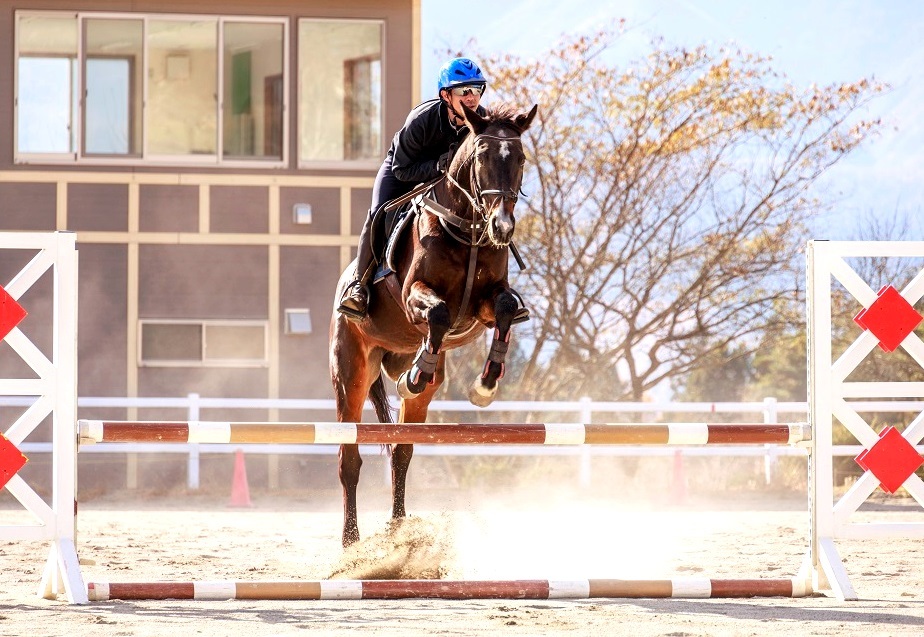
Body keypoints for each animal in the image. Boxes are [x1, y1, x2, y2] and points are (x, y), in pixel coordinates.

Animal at [328, 102, 536, 544]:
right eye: (481, 157)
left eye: (522, 159)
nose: (502, 228)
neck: (468, 228)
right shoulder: (414, 297)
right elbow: (438, 312)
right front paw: (420, 372)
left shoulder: (484, 306)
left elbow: (505, 309)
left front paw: (486, 384)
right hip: (351, 372)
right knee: (349, 459)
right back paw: (352, 541)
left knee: (402, 452)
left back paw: (398, 530)